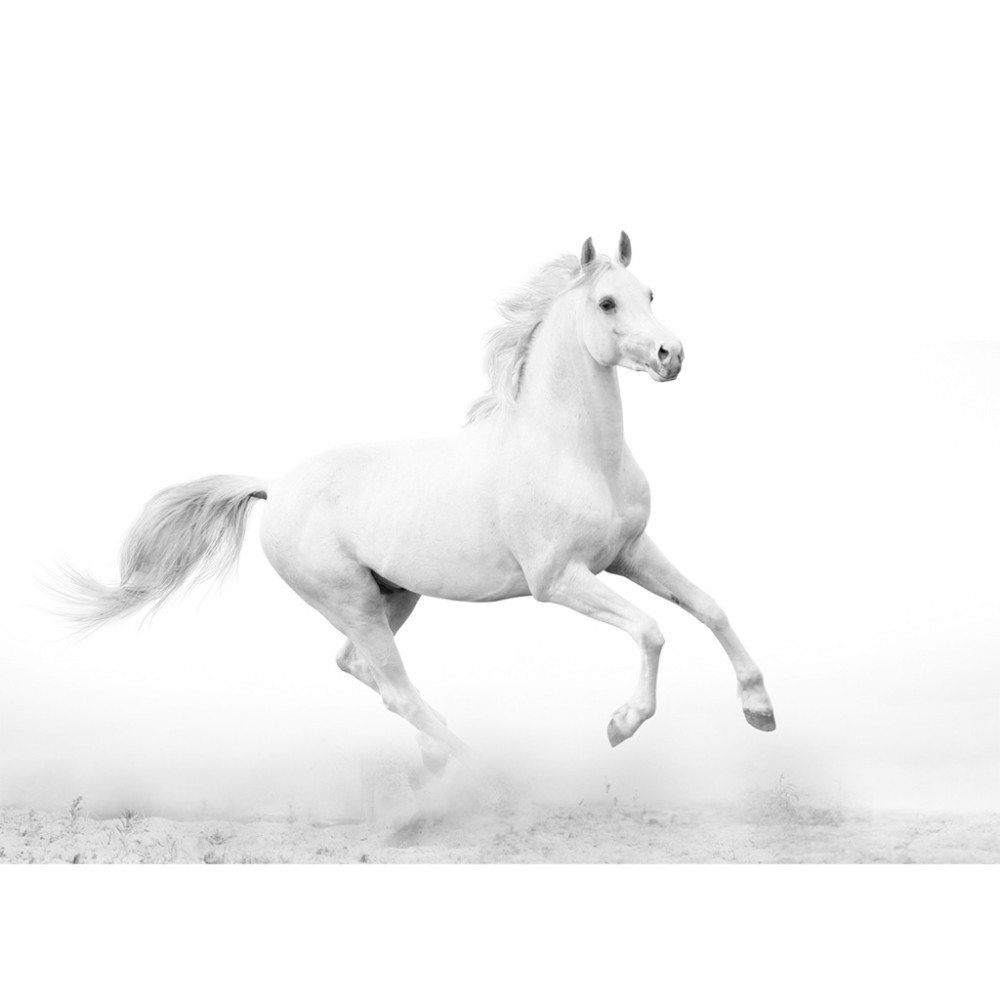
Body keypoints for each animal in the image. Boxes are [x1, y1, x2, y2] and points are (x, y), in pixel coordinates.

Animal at [53, 232, 776, 774]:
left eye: (650, 293)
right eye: (605, 302)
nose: (671, 354)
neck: (572, 451)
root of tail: (275, 486)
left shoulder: (629, 552)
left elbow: (708, 607)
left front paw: (760, 708)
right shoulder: (559, 580)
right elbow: (652, 630)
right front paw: (622, 724)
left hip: (393, 595)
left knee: (360, 669)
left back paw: (436, 751)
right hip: (350, 600)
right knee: (395, 690)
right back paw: (476, 766)